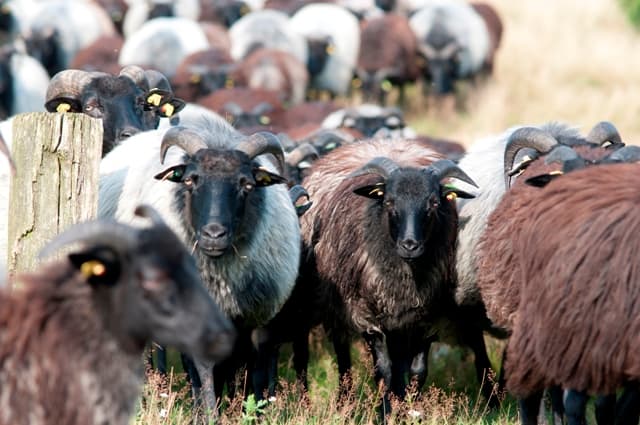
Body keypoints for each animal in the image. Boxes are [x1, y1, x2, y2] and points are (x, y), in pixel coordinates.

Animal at [296, 138, 484, 414]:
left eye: (434, 204)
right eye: (389, 202)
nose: (410, 245)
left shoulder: (426, 317)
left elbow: (417, 370)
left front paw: (409, 410)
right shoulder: (366, 316)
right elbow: (383, 371)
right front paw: (384, 413)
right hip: (335, 305)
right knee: (343, 353)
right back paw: (345, 401)